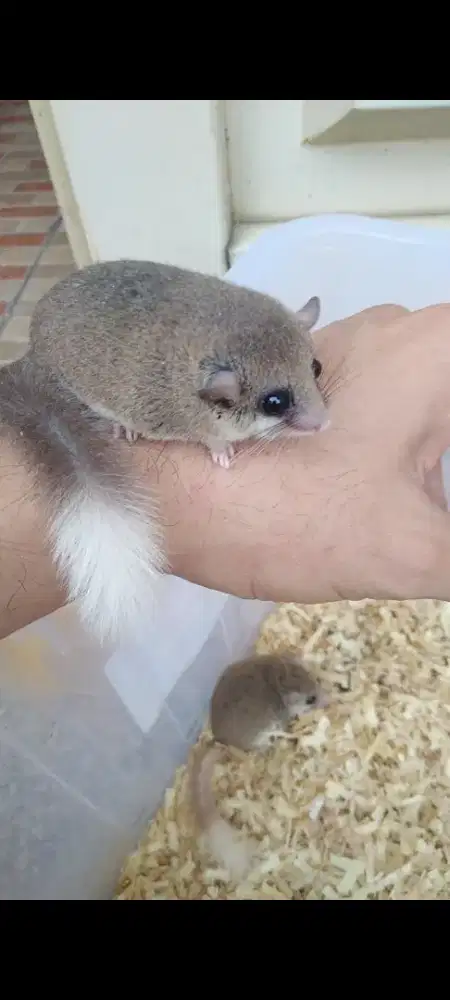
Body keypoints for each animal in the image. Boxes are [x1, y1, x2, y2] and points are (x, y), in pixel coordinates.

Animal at [190, 651, 328, 879]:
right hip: (265, 733)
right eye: (311, 699)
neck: (279, 680)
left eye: (315, 679)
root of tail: (220, 742)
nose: (329, 699)